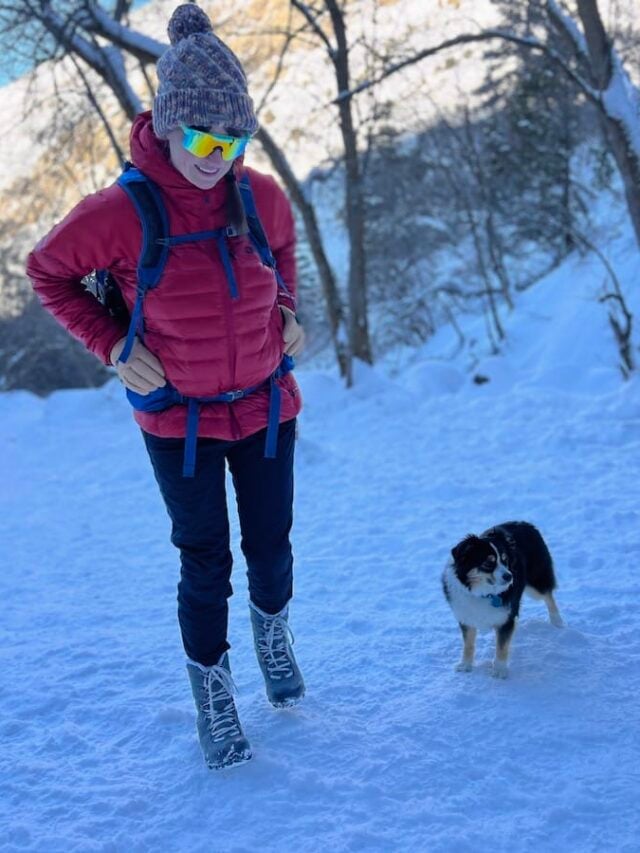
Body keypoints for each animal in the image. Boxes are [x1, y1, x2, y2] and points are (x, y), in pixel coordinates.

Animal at [442, 520, 564, 680]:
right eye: (488, 563)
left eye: (505, 560)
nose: (509, 577)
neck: (483, 593)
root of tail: (525, 523)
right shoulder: (466, 616)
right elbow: (468, 644)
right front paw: (466, 665)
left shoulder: (505, 619)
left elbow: (502, 646)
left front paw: (499, 670)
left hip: (536, 583)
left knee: (548, 596)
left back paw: (557, 621)